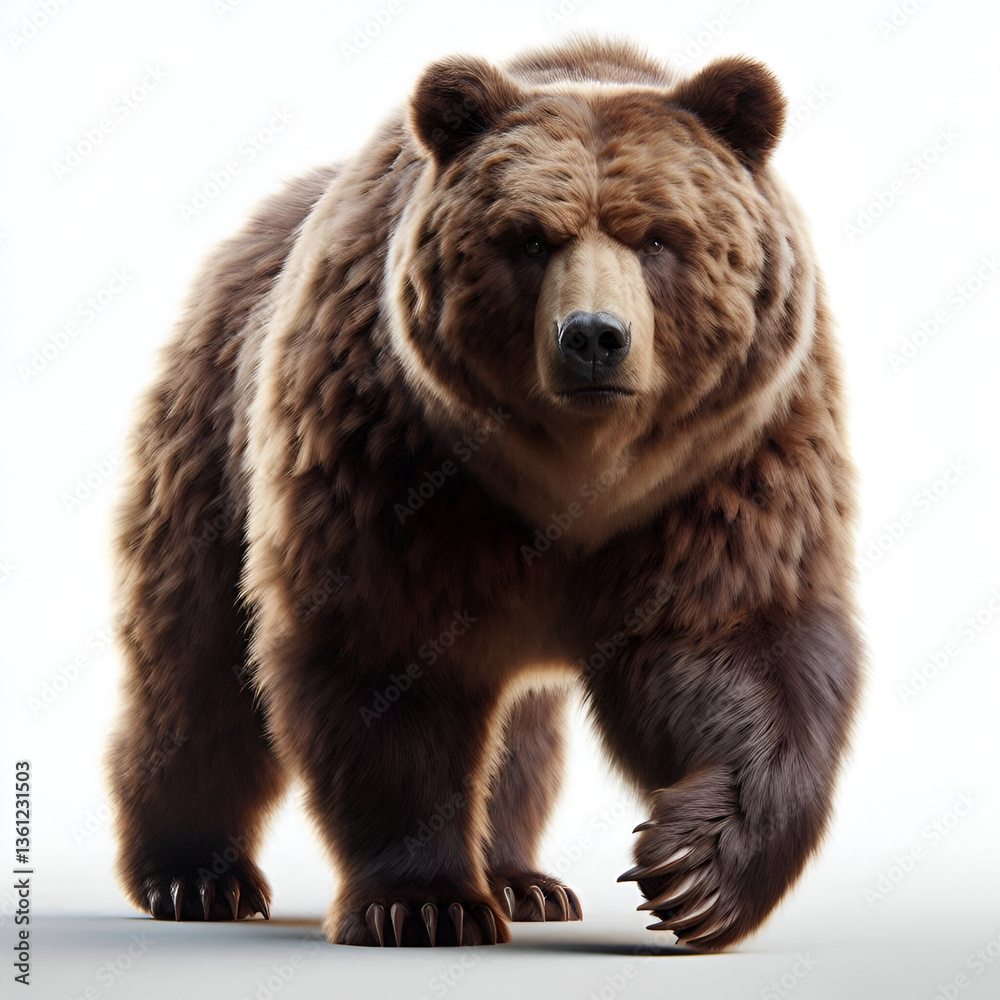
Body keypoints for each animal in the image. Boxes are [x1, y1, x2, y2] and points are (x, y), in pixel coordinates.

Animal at [104, 36, 862, 951]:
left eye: (657, 237)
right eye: (530, 239)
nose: (595, 338)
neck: (578, 475)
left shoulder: (727, 465)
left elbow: (735, 645)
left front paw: (695, 873)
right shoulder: (391, 458)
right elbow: (384, 659)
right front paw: (424, 902)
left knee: (519, 738)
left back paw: (522, 879)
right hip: (216, 445)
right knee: (198, 671)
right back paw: (193, 874)